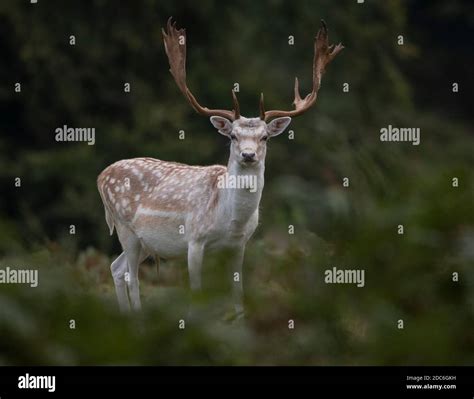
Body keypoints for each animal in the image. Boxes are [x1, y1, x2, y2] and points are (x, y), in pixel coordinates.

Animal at [98, 18, 342, 312]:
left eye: (264, 137)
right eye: (233, 136)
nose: (248, 155)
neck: (230, 219)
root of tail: (101, 175)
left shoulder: (239, 246)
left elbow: (238, 297)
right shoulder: (194, 240)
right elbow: (197, 294)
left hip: (146, 242)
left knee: (116, 267)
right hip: (126, 228)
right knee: (131, 277)